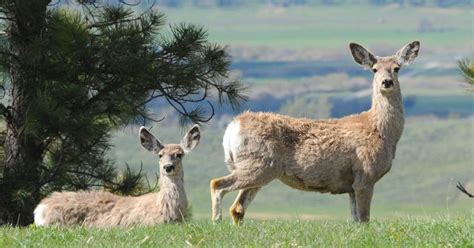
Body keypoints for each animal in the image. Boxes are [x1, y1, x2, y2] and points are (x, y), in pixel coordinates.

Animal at [209, 40, 420, 223]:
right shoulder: (365, 175)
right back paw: (216, 221)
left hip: (257, 169)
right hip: (258, 164)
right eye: (374, 69)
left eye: (397, 68)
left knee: (238, 208)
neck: (381, 131)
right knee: (217, 185)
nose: (386, 82)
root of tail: (232, 127)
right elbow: (364, 219)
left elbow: (355, 220)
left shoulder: (351, 185)